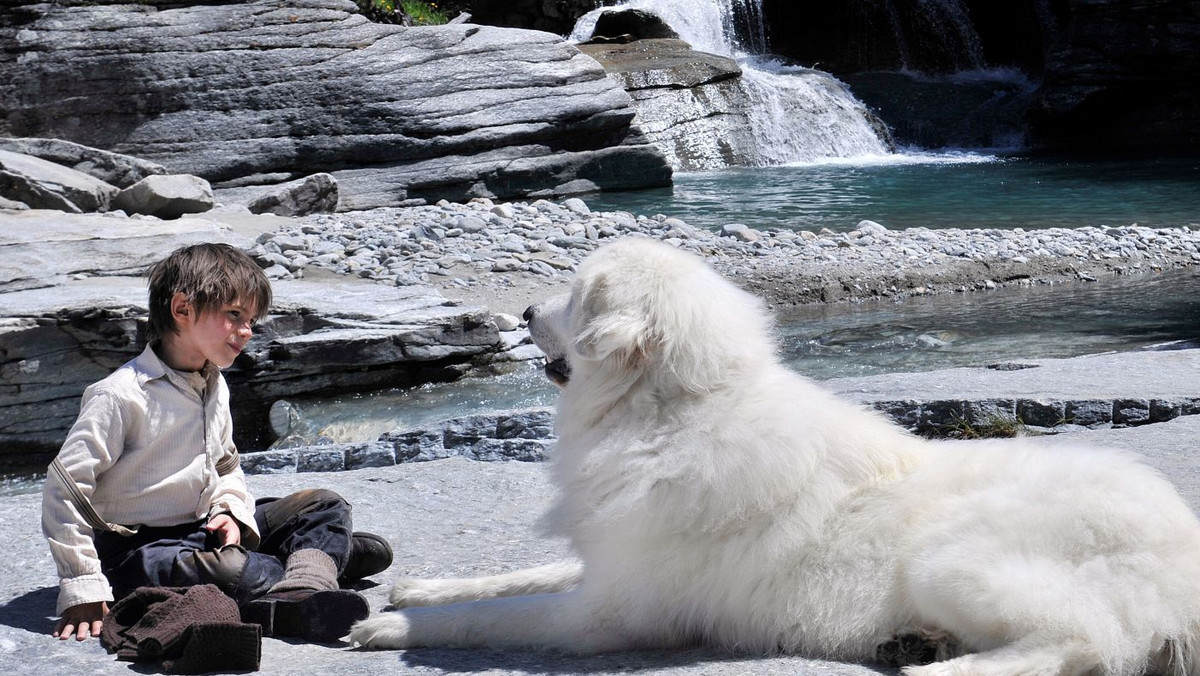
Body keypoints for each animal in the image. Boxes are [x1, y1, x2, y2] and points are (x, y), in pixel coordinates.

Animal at [350, 237, 1200, 676]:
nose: (525, 308)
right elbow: (520, 575)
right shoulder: (612, 561)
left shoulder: (608, 616)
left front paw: (393, 629)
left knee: (1081, 644)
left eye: (572, 297)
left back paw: (938, 666)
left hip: (953, 557)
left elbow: (498, 616)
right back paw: (917, 643)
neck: (674, 413)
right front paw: (424, 588)